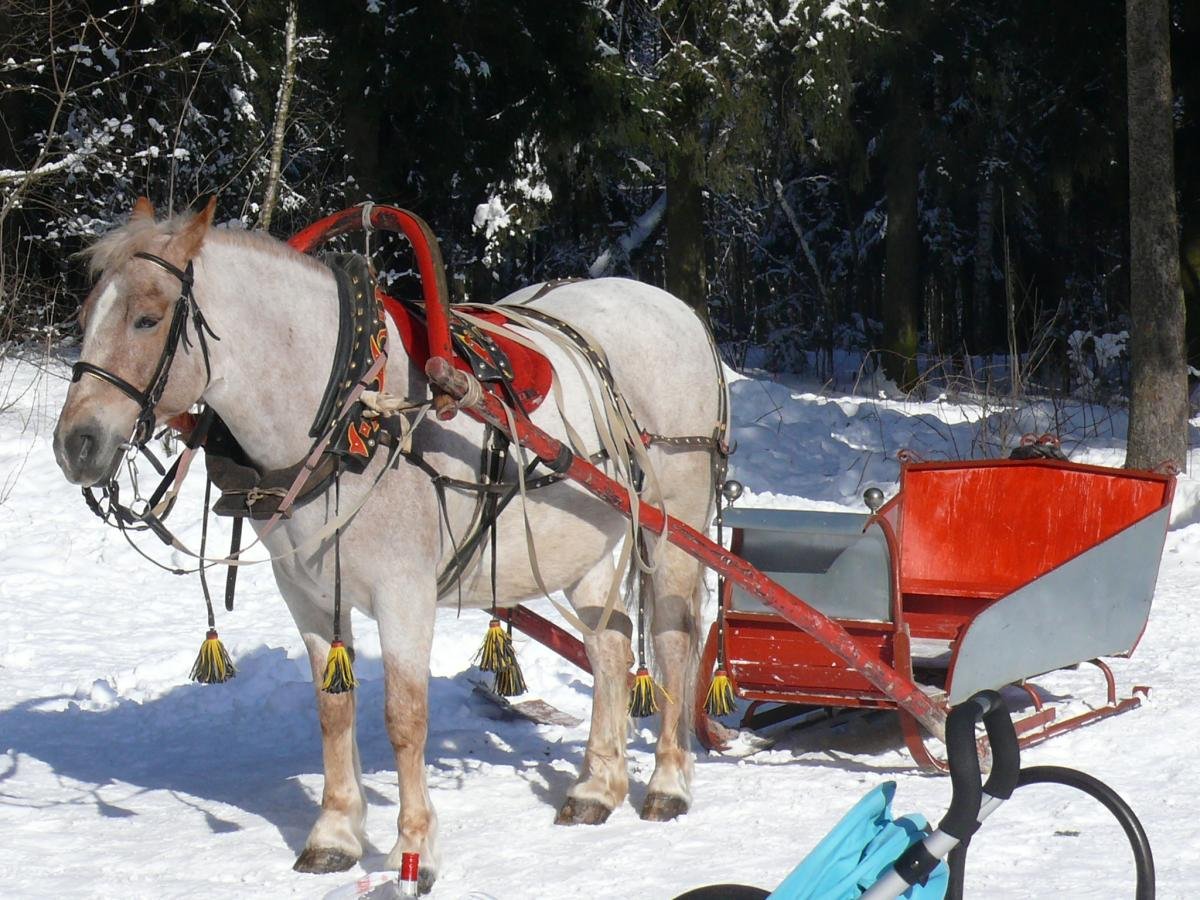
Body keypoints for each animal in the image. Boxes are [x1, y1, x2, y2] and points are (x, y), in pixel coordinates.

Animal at [51, 199, 724, 897]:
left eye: (148, 317)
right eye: (84, 316)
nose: (75, 444)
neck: (352, 414)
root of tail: (677, 309)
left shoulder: (405, 594)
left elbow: (404, 719)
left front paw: (414, 852)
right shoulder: (307, 594)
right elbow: (332, 709)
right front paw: (335, 834)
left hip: (672, 525)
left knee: (673, 640)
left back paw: (668, 782)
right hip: (584, 545)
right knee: (610, 647)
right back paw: (597, 786)